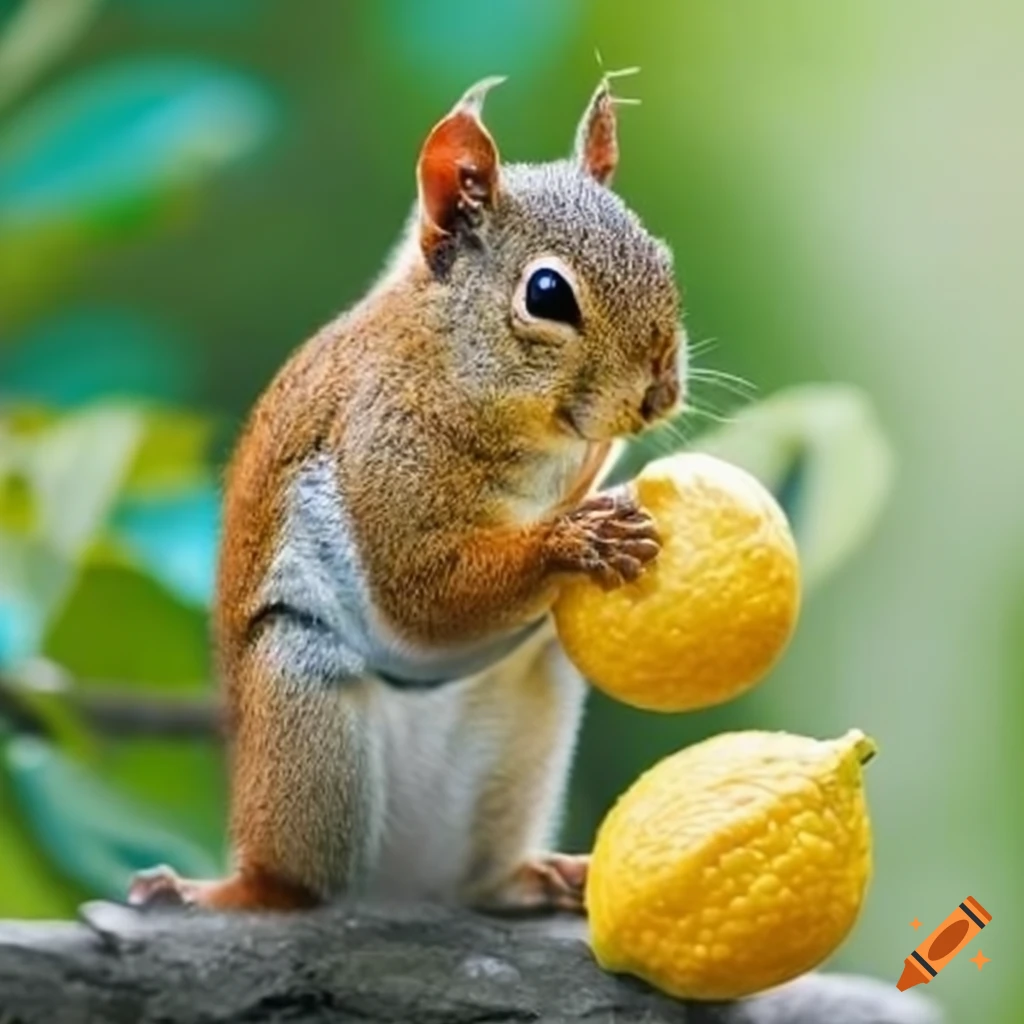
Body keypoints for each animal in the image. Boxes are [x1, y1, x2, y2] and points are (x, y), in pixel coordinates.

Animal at [128, 73, 686, 914]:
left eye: (662, 256)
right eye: (547, 294)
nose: (660, 391)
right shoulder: (380, 449)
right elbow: (423, 592)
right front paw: (574, 540)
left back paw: (533, 876)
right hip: (300, 697)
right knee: (298, 880)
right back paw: (234, 891)